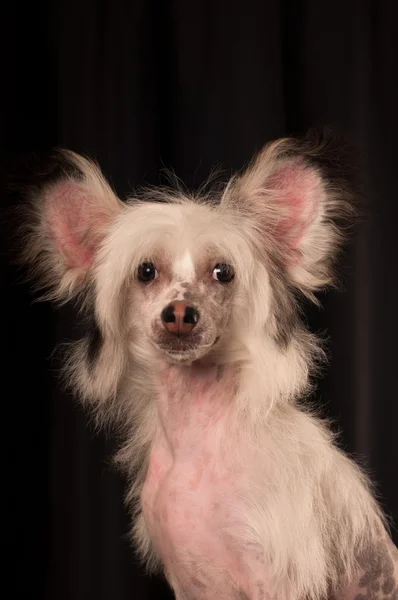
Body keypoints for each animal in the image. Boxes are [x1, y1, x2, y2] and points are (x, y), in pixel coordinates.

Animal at [19, 132, 398, 600]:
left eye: (223, 272)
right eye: (146, 271)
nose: (180, 313)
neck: (196, 441)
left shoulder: (277, 580)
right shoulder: (187, 582)